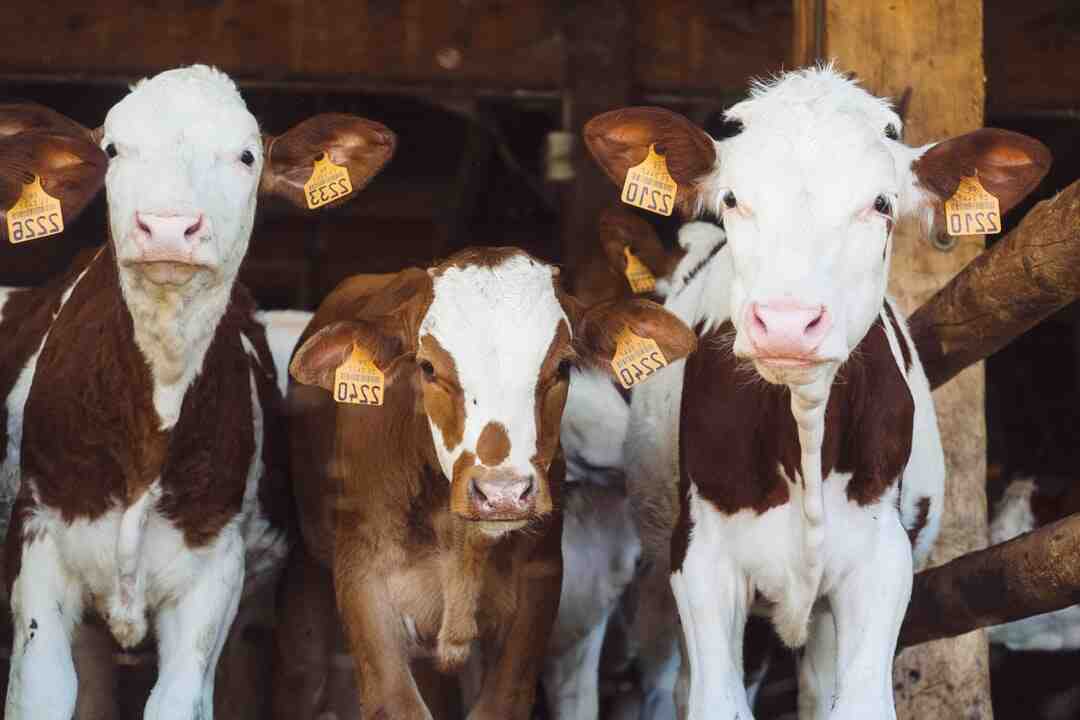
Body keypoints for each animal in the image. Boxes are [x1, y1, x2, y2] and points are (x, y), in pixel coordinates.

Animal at [0, 65, 396, 720]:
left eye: (246, 156)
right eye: (112, 149)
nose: (166, 226)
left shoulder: (213, 577)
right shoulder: (38, 545)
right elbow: (43, 691)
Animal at [584, 66, 1052, 719]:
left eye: (881, 204)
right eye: (732, 199)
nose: (786, 322)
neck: (803, 435)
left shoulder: (882, 561)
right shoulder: (701, 558)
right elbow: (717, 700)